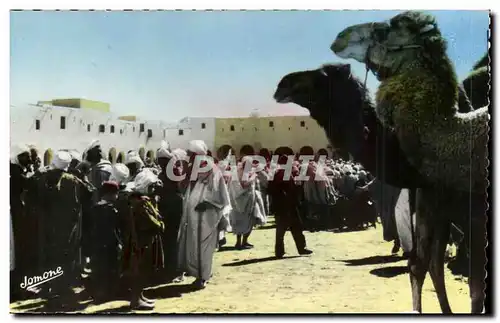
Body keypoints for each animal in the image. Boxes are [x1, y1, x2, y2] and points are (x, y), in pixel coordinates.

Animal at [274, 58, 488, 314]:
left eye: (323, 76)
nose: (282, 84)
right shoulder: (437, 203)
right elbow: (432, 268)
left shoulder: (471, 213)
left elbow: (475, 288)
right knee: (429, 264)